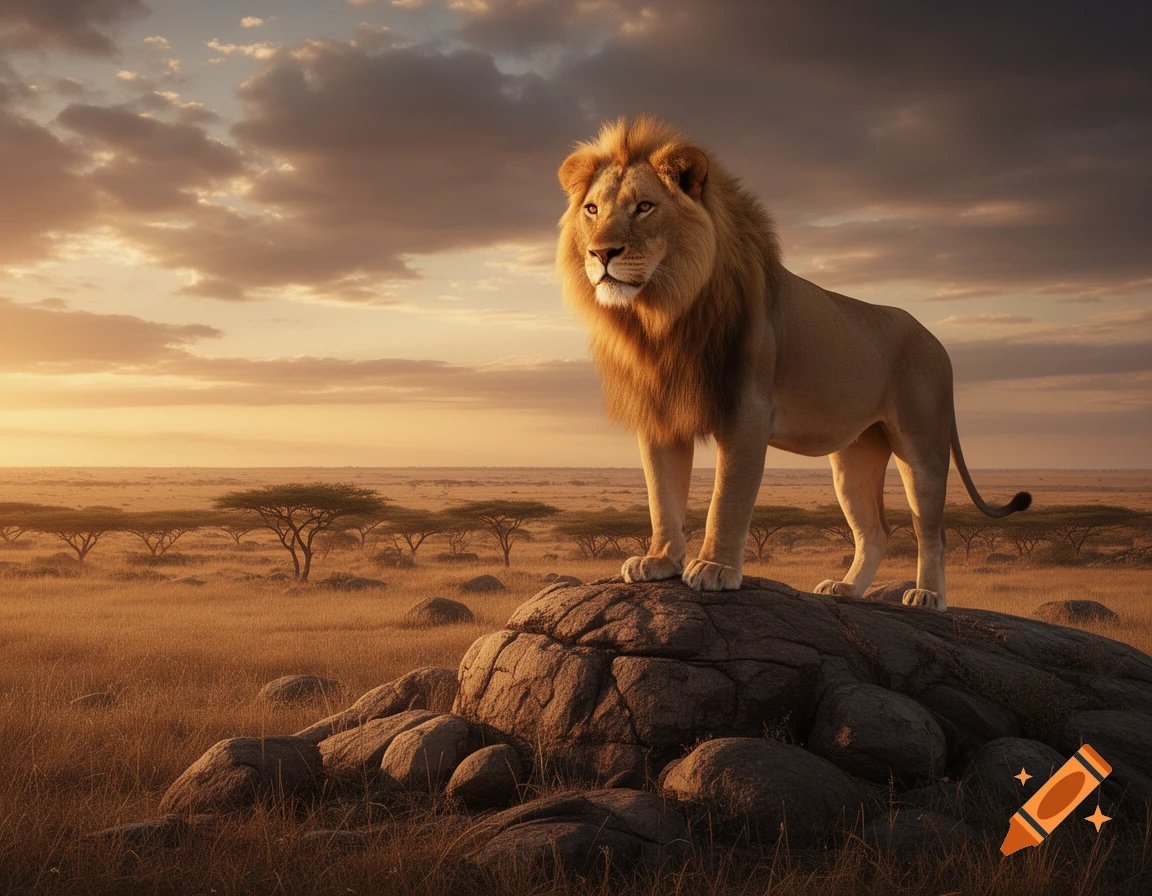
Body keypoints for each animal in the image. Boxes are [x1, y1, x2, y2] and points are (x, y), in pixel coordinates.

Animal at [556, 116, 1031, 611]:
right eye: (592, 210)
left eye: (644, 207)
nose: (600, 253)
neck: (662, 317)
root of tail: (938, 342)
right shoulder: (660, 414)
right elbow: (661, 497)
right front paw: (660, 561)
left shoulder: (747, 413)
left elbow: (727, 500)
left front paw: (714, 569)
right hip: (855, 457)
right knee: (876, 530)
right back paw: (846, 590)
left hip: (922, 446)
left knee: (932, 530)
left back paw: (927, 596)